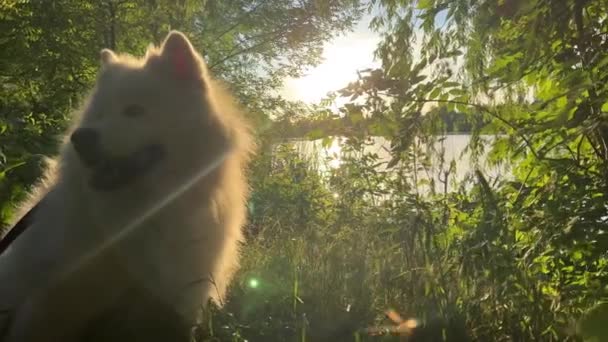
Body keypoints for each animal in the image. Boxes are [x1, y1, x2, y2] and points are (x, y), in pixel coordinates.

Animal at [0, 30, 254, 340]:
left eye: (134, 110)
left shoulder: (168, 306)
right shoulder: (48, 303)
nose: (80, 138)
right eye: (98, 115)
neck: (144, 212)